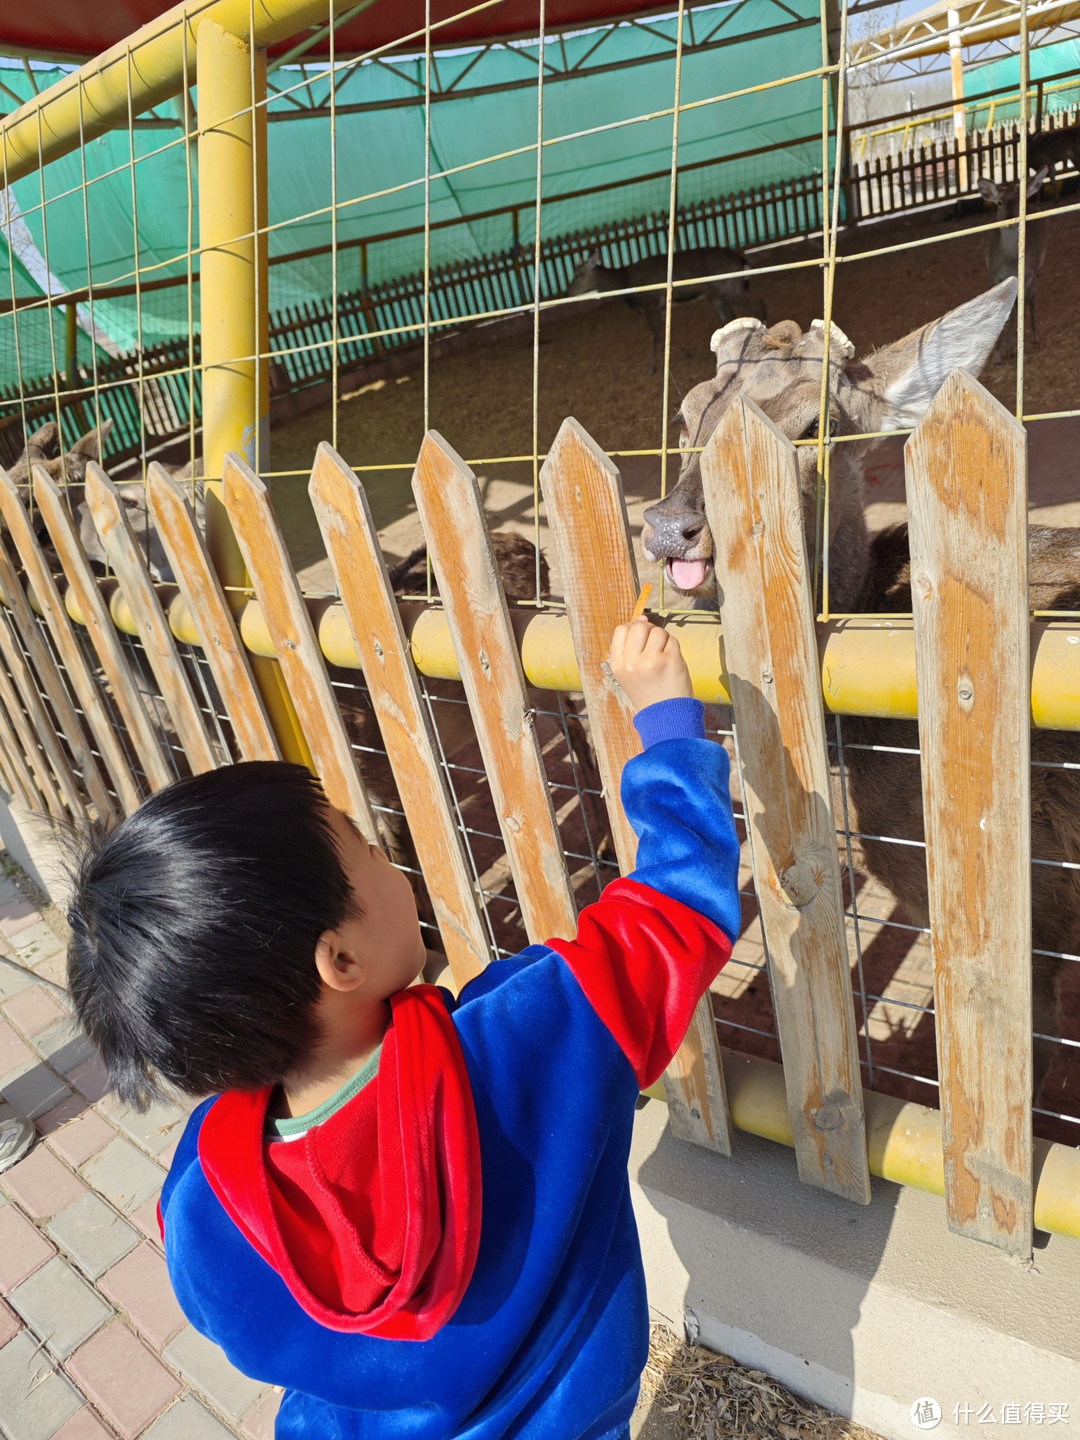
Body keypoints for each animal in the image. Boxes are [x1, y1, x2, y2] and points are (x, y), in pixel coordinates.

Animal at [561, 246, 766, 371]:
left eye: (578, 275)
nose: (568, 292)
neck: (624, 282)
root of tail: (743, 261)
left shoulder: (650, 304)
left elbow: (655, 335)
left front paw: (653, 367)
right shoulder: (660, 307)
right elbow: (666, 332)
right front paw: (685, 353)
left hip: (731, 289)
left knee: (759, 304)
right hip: (718, 296)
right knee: (730, 318)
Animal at [979, 167, 1054, 347]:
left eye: (1021, 201)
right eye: (999, 202)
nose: (1010, 221)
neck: (1010, 263)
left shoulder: (1028, 273)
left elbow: (1020, 307)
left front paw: (1010, 346)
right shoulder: (994, 274)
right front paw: (998, 350)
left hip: (1037, 269)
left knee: (1031, 299)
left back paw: (1034, 337)